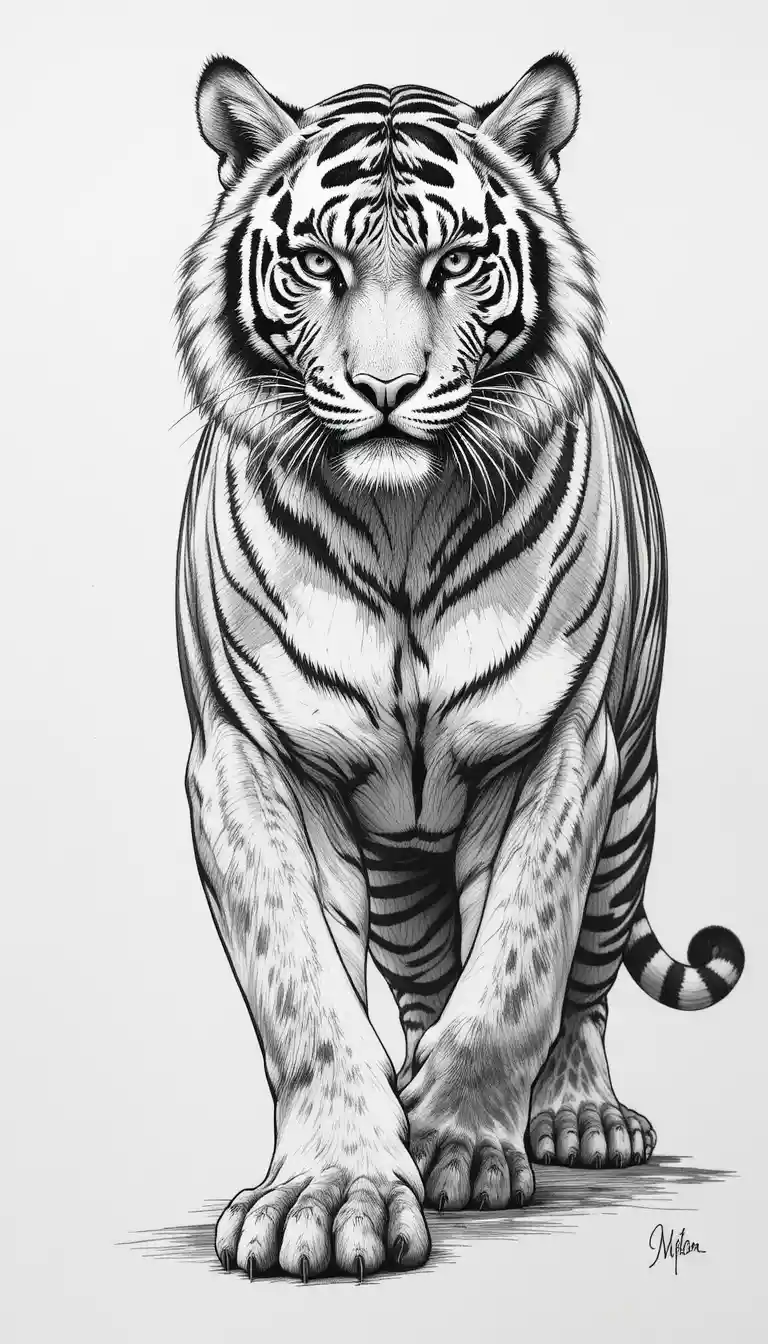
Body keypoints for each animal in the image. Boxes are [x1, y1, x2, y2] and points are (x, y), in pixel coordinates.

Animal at [175, 52, 745, 1281]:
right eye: (318, 263)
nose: (387, 389)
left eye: (457, 262)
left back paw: (576, 1115)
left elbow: (524, 959)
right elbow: (302, 987)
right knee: (425, 972)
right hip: (400, 864)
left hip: (632, 799)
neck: (400, 521)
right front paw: (333, 1189)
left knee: (585, 979)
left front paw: (463, 1144)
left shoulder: (563, 749)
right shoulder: (246, 757)